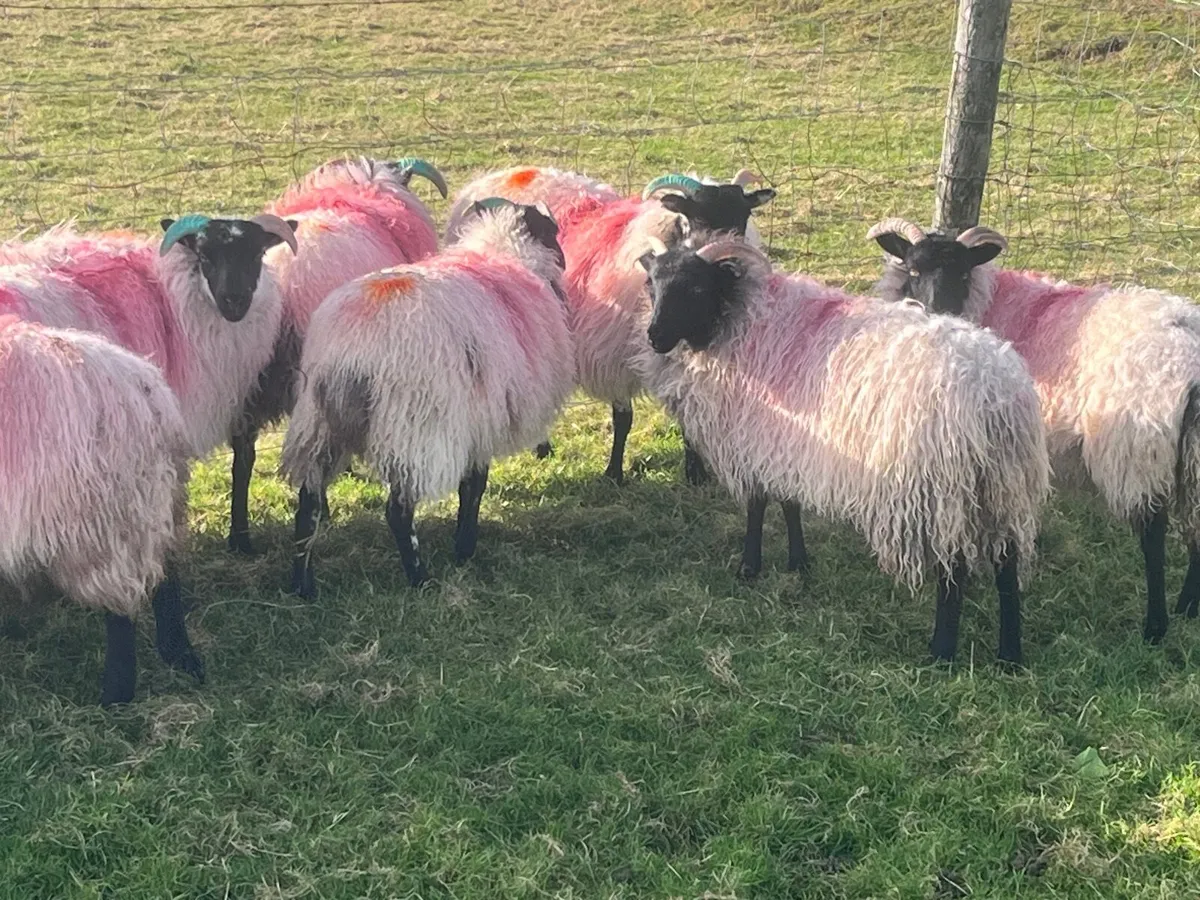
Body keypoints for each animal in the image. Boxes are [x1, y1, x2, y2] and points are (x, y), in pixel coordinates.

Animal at [0, 314, 202, 706]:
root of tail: (145, 391)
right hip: (155, 505)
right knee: (167, 577)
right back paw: (180, 655)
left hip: (100, 525)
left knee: (122, 612)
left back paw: (115, 694)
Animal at [281, 198, 573, 597]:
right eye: (553, 232)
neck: (508, 255)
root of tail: (349, 351)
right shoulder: (479, 416)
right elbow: (474, 486)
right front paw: (464, 548)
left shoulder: (476, 418)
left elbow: (472, 484)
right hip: (414, 427)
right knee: (398, 512)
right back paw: (420, 578)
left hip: (317, 424)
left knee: (307, 506)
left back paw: (303, 585)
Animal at [633, 238, 1050, 666]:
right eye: (651, 285)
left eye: (697, 287)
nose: (655, 337)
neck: (741, 321)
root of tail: (994, 393)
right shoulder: (786, 443)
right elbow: (789, 502)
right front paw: (798, 563)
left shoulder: (755, 437)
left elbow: (757, 504)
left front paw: (749, 567)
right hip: (1002, 485)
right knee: (1006, 562)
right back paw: (1010, 654)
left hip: (941, 487)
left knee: (955, 565)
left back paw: (942, 651)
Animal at [869, 218, 1200, 644]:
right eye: (912, 271)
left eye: (964, 273)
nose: (937, 311)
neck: (987, 301)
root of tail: (1187, 345)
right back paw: (1189, 607)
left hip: (1138, 449)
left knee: (1153, 536)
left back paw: (1156, 626)